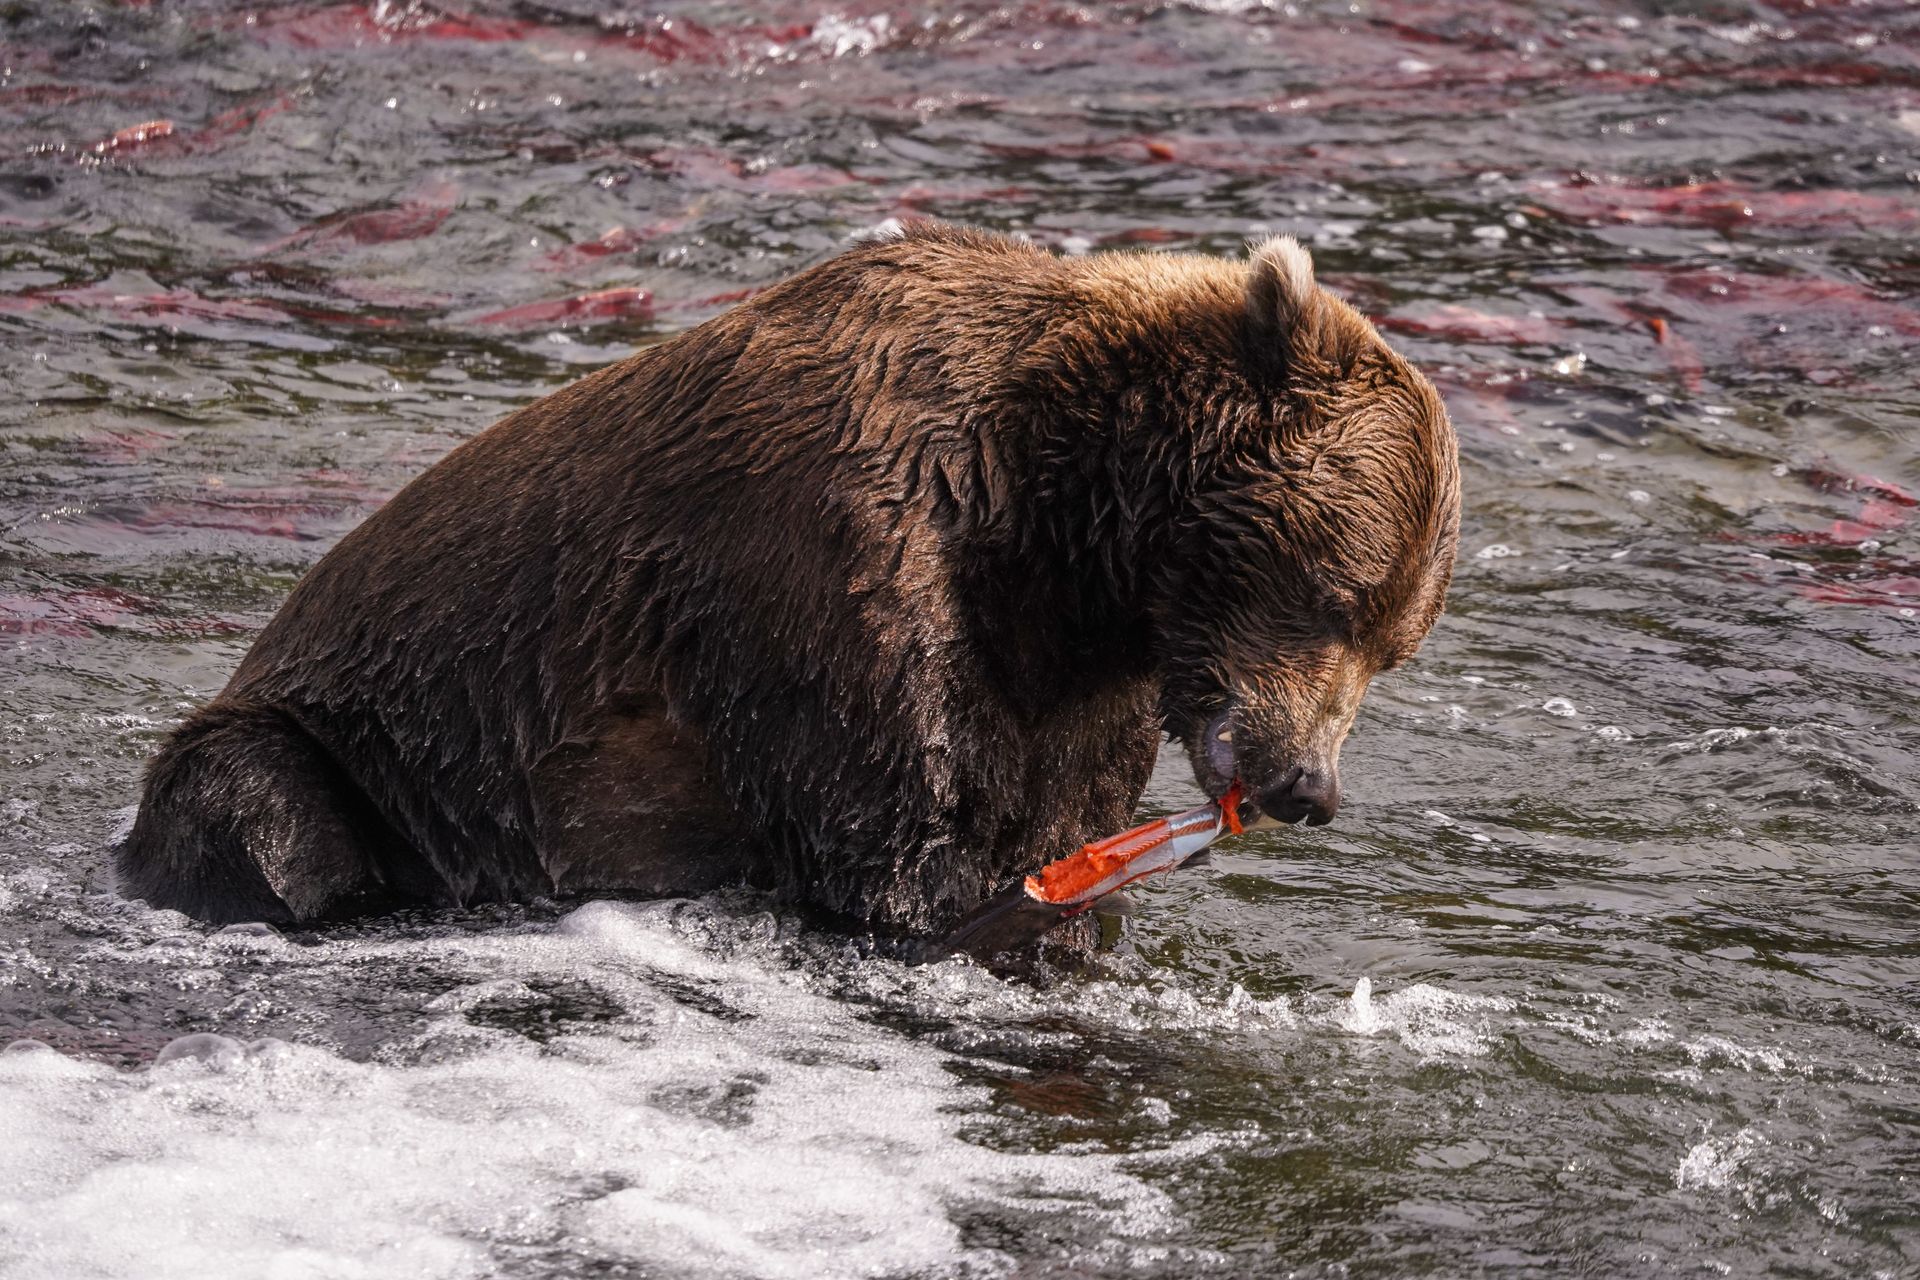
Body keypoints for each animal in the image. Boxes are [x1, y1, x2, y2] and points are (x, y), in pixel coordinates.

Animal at [116, 222, 1460, 948]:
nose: (1308, 785)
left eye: (1397, 645)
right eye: (1334, 591)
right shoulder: (832, 539)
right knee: (267, 811)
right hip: (355, 733)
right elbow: (879, 828)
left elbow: (1054, 814)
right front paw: (954, 899)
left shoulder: (1080, 667)